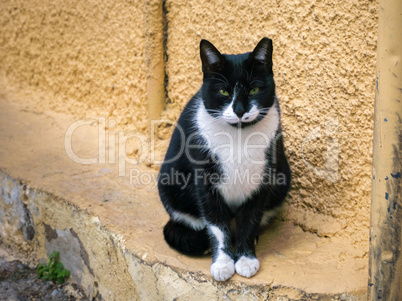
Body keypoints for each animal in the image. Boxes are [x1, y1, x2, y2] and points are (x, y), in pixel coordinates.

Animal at [158, 37, 292, 282]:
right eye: (223, 91)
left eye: (254, 89)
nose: (239, 110)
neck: (238, 135)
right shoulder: (205, 181)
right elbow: (217, 225)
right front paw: (222, 262)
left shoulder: (263, 178)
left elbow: (250, 219)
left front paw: (246, 258)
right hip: (170, 184)